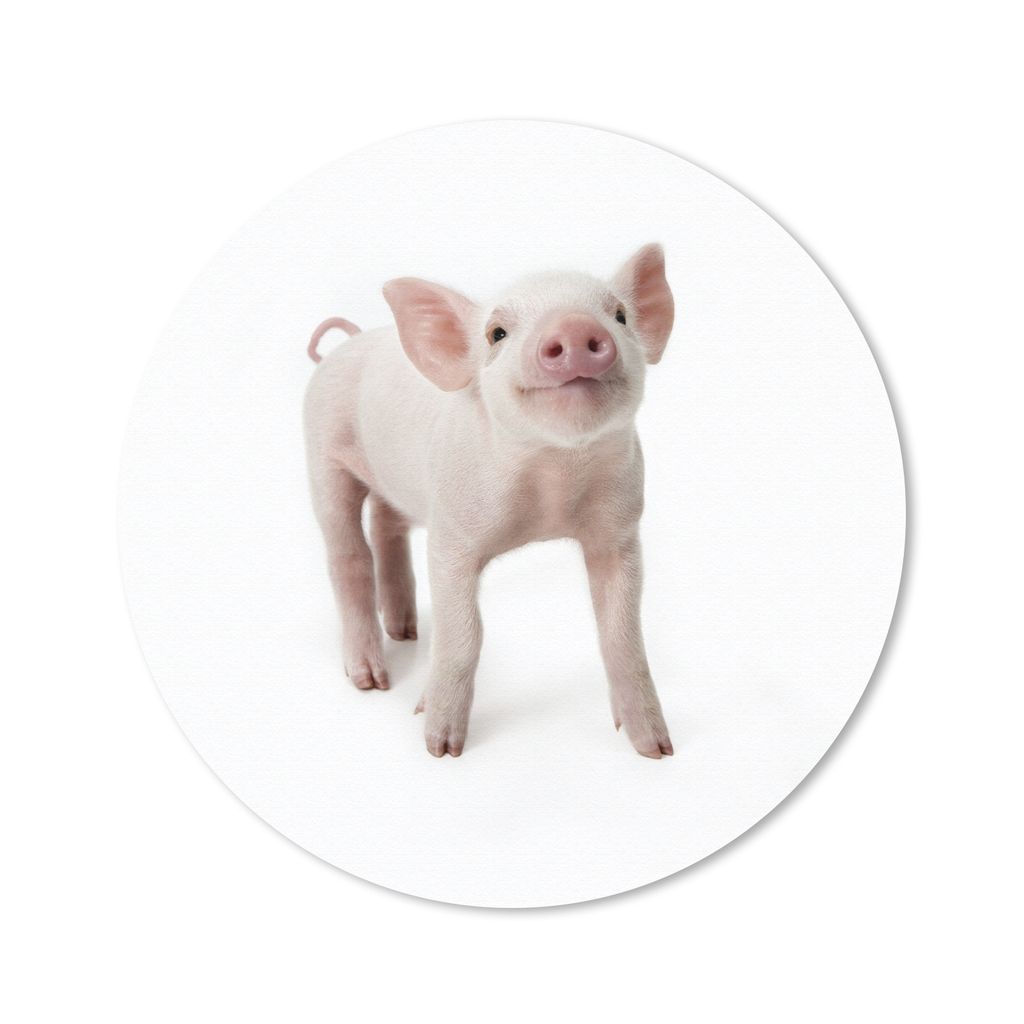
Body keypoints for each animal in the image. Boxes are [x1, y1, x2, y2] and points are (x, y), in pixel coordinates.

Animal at [303, 244, 675, 758]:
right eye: (497, 333)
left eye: (619, 315)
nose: (573, 327)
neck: (552, 480)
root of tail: (350, 342)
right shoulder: (452, 536)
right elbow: (464, 635)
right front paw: (440, 747)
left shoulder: (619, 531)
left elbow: (621, 633)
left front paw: (656, 749)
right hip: (322, 456)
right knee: (347, 557)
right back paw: (371, 681)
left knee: (386, 527)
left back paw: (406, 631)